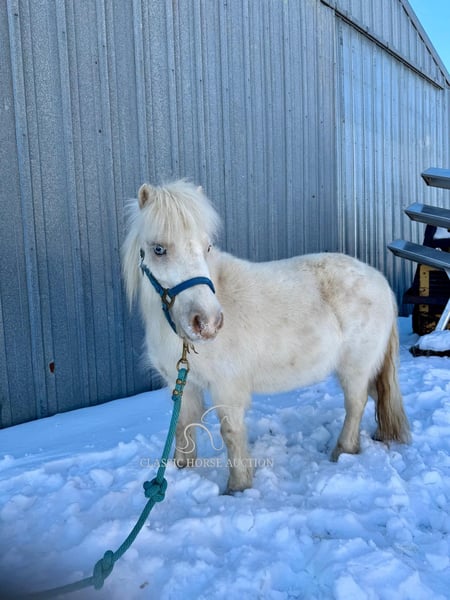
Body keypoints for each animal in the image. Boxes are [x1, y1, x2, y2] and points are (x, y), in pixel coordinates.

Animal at [122, 179, 410, 492]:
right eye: (158, 249)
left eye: (207, 247)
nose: (208, 322)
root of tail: (380, 281)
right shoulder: (185, 385)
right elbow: (183, 426)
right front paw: (181, 470)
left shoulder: (227, 388)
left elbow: (231, 433)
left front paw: (237, 488)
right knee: (377, 395)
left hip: (354, 368)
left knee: (356, 404)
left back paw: (342, 451)